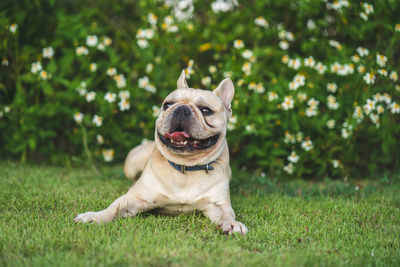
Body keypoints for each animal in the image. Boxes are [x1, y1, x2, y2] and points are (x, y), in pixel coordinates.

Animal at [73, 70, 245, 234]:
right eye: (167, 105)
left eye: (206, 110)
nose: (182, 109)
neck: (185, 167)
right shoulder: (136, 199)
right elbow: (114, 207)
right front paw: (94, 216)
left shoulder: (218, 204)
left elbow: (228, 214)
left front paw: (232, 224)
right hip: (130, 166)